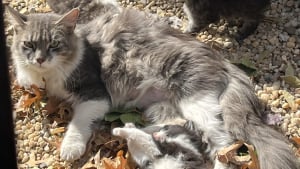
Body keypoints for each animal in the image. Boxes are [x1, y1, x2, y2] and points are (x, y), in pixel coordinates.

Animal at [5, 0, 298, 168]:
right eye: (28, 45)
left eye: (54, 45)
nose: (40, 59)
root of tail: (225, 61)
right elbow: (24, 76)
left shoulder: (95, 94)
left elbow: (78, 123)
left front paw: (70, 148)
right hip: (162, 109)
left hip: (196, 101)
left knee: (223, 144)